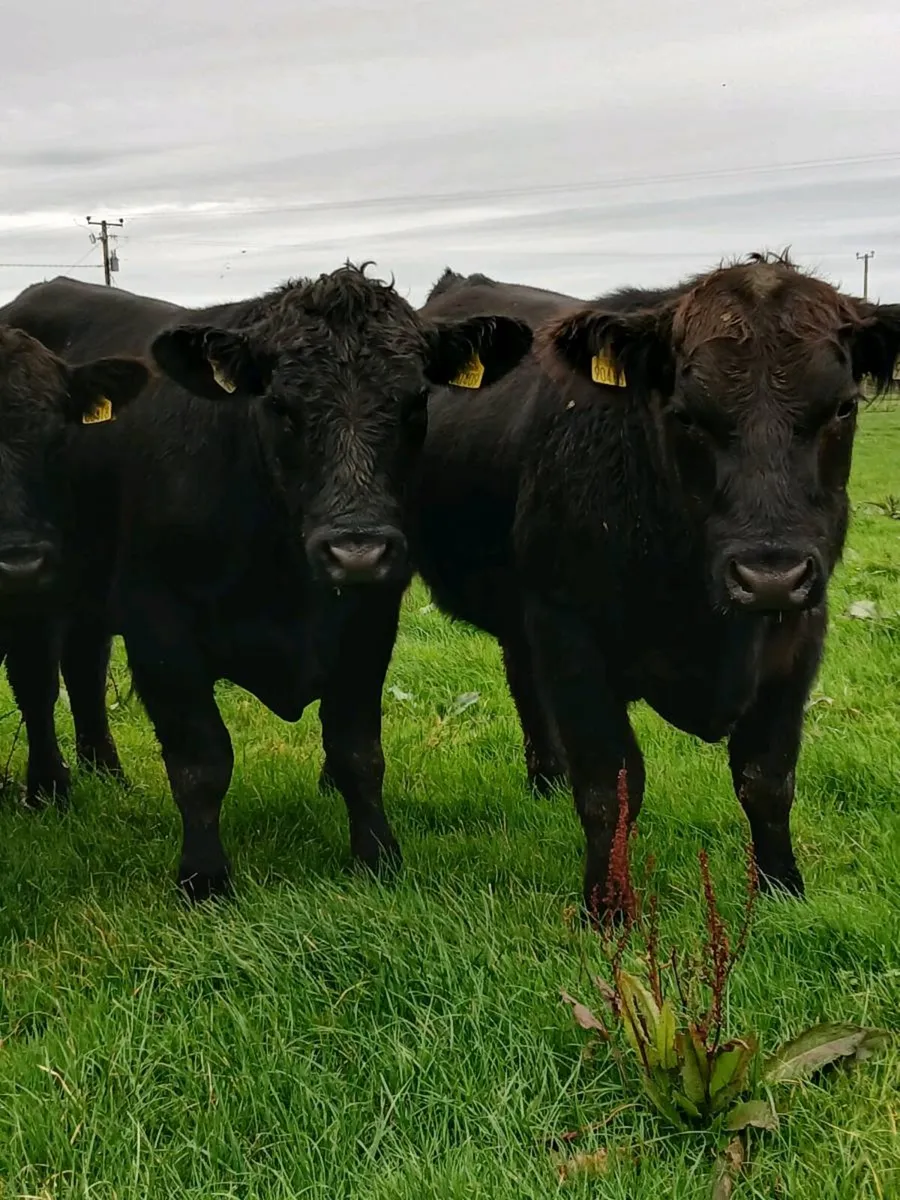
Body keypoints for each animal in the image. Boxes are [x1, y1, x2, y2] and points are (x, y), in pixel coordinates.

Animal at [0, 325, 148, 802]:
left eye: (59, 440)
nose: (20, 564)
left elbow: (40, 683)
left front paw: (48, 789)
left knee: (85, 669)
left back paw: (108, 772)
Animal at [412, 254, 900, 916]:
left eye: (844, 408)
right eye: (685, 414)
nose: (768, 576)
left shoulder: (802, 630)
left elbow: (767, 778)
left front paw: (782, 890)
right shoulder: (569, 630)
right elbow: (609, 786)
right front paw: (607, 909)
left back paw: (545, 781)